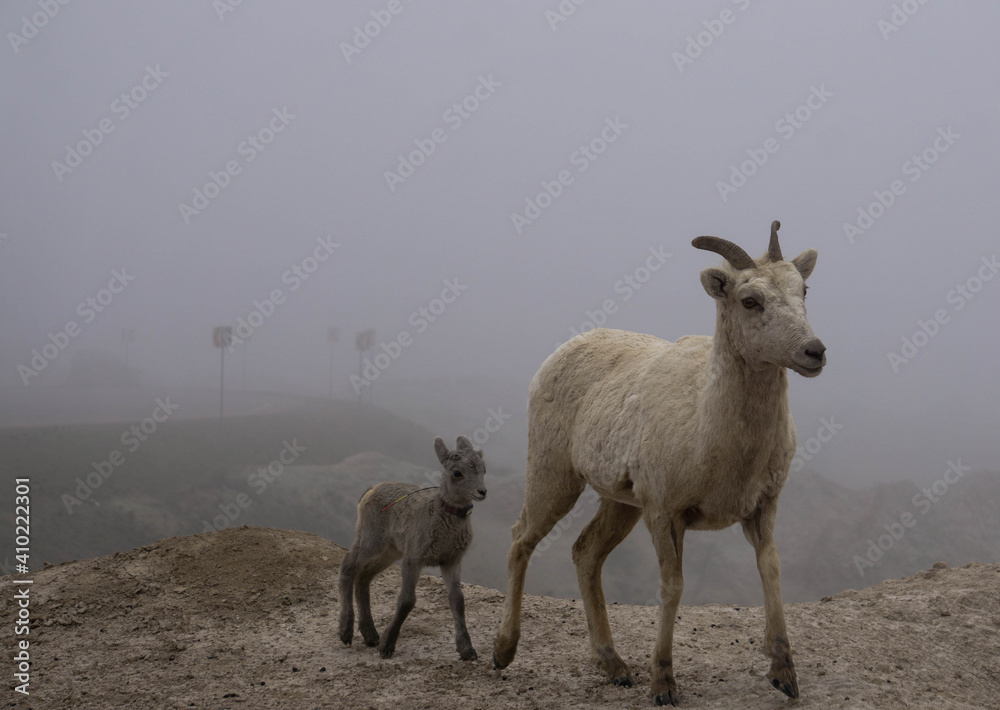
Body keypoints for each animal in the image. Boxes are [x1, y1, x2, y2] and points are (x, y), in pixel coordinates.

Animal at [338, 435, 487, 661]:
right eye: (457, 472)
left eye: (483, 469)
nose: (482, 492)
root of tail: (369, 491)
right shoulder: (414, 558)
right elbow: (407, 600)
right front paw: (387, 646)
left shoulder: (451, 561)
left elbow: (457, 600)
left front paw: (467, 650)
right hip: (371, 540)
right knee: (349, 566)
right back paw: (346, 632)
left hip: (390, 552)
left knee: (363, 576)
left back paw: (370, 635)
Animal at [492, 221, 825, 705]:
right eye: (750, 300)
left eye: (804, 289)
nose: (814, 352)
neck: (710, 428)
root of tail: (563, 349)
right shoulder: (665, 513)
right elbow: (673, 586)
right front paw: (663, 684)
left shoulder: (762, 508)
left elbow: (771, 570)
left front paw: (785, 674)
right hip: (555, 474)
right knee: (522, 539)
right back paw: (502, 651)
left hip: (619, 503)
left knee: (585, 553)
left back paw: (614, 666)